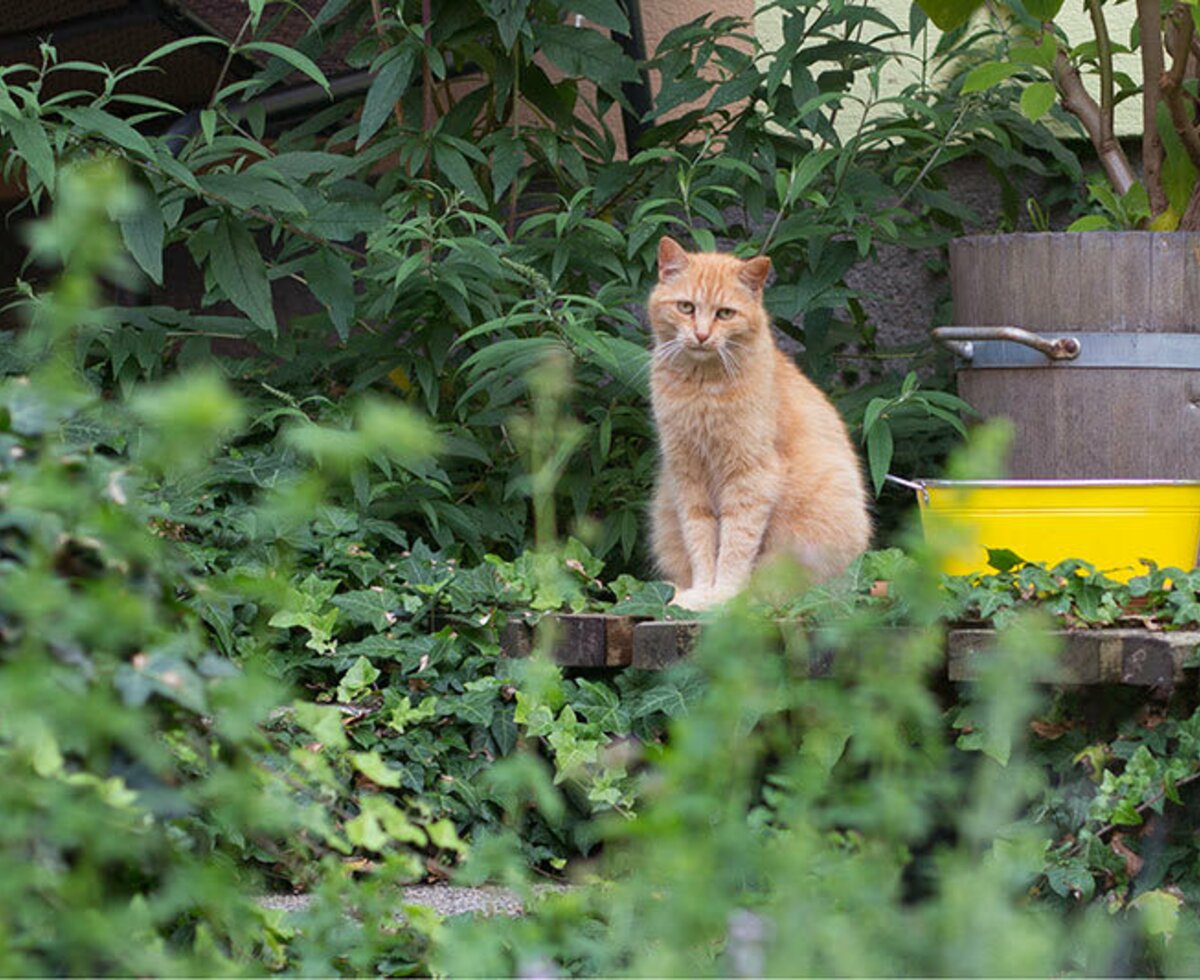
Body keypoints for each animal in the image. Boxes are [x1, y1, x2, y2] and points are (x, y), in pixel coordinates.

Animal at [648, 236, 873, 604]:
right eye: (686, 307)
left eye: (725, 313)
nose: (701, 335)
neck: (702, 388)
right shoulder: (687, 476)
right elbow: (700, 541)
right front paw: (702, 593)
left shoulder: (750, 476)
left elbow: (736, 545)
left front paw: (723, 598)